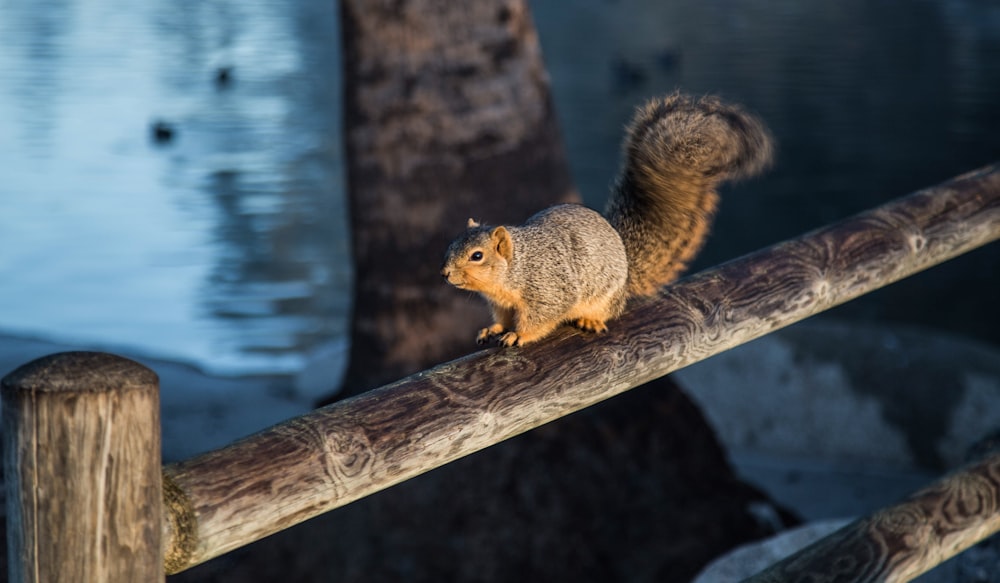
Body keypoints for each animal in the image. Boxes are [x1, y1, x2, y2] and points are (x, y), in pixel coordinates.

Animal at [442, 92, 776, 346]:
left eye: (477, 256)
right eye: (450, 246)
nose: (445, 274)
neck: (514, 270)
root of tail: (626, 266)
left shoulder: (549, 290)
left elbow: (541, 318)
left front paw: (518, 336)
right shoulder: (501, 302)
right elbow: (502, 317)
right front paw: (495, 329)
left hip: (605, 296)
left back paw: (590, 320)